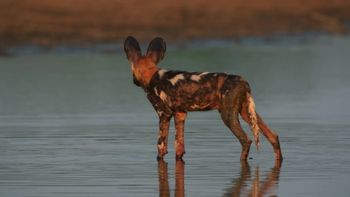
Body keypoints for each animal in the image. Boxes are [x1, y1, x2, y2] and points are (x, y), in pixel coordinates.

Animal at [124, 36, 284, 161]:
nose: (133, 81)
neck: (151, 75)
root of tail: (243, 81)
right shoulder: (180, 114)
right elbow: (179, 148)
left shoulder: (164, 114)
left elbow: (160, 147)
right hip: (246, 113)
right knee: (273, 136)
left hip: (228, 115)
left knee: (246, 140)